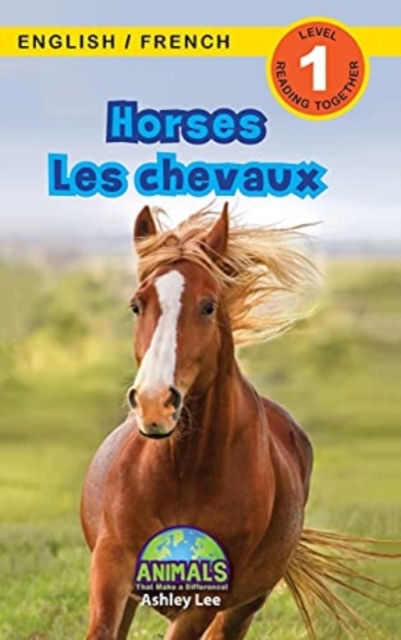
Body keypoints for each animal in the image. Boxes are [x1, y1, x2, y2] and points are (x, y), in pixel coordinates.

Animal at [81, 204, 393, 640]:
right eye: (136, 305)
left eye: (209, 305)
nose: (155, 404)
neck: (181, 473)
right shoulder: (112, 568)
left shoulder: (203, 600)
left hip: (242, 607)